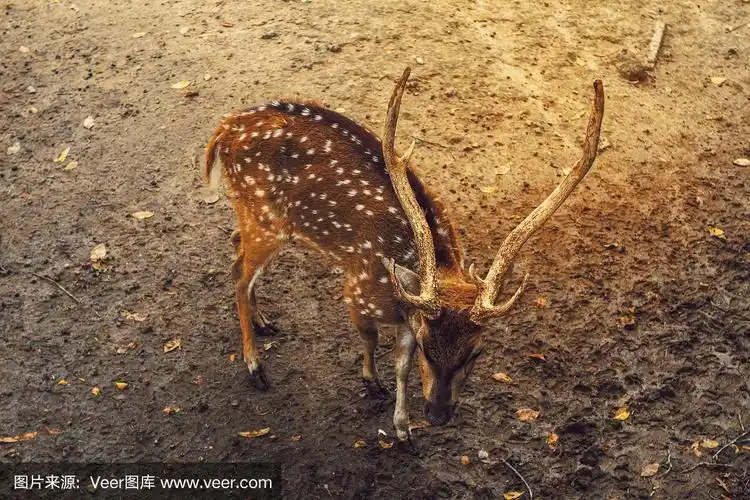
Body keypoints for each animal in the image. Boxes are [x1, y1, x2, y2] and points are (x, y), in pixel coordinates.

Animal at [204, 67, 605, 445]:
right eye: (430, 346)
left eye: (476, 353)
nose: (438, 415)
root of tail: (223, 128)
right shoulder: (356, 288)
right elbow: (372, 341)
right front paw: (371, 383)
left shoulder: (409, 315)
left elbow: (401, 364)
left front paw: (403, 430)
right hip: (263, 219)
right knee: (238, 275)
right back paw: (255, 366)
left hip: (255, 216)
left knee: (237, 251)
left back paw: (263, 321)